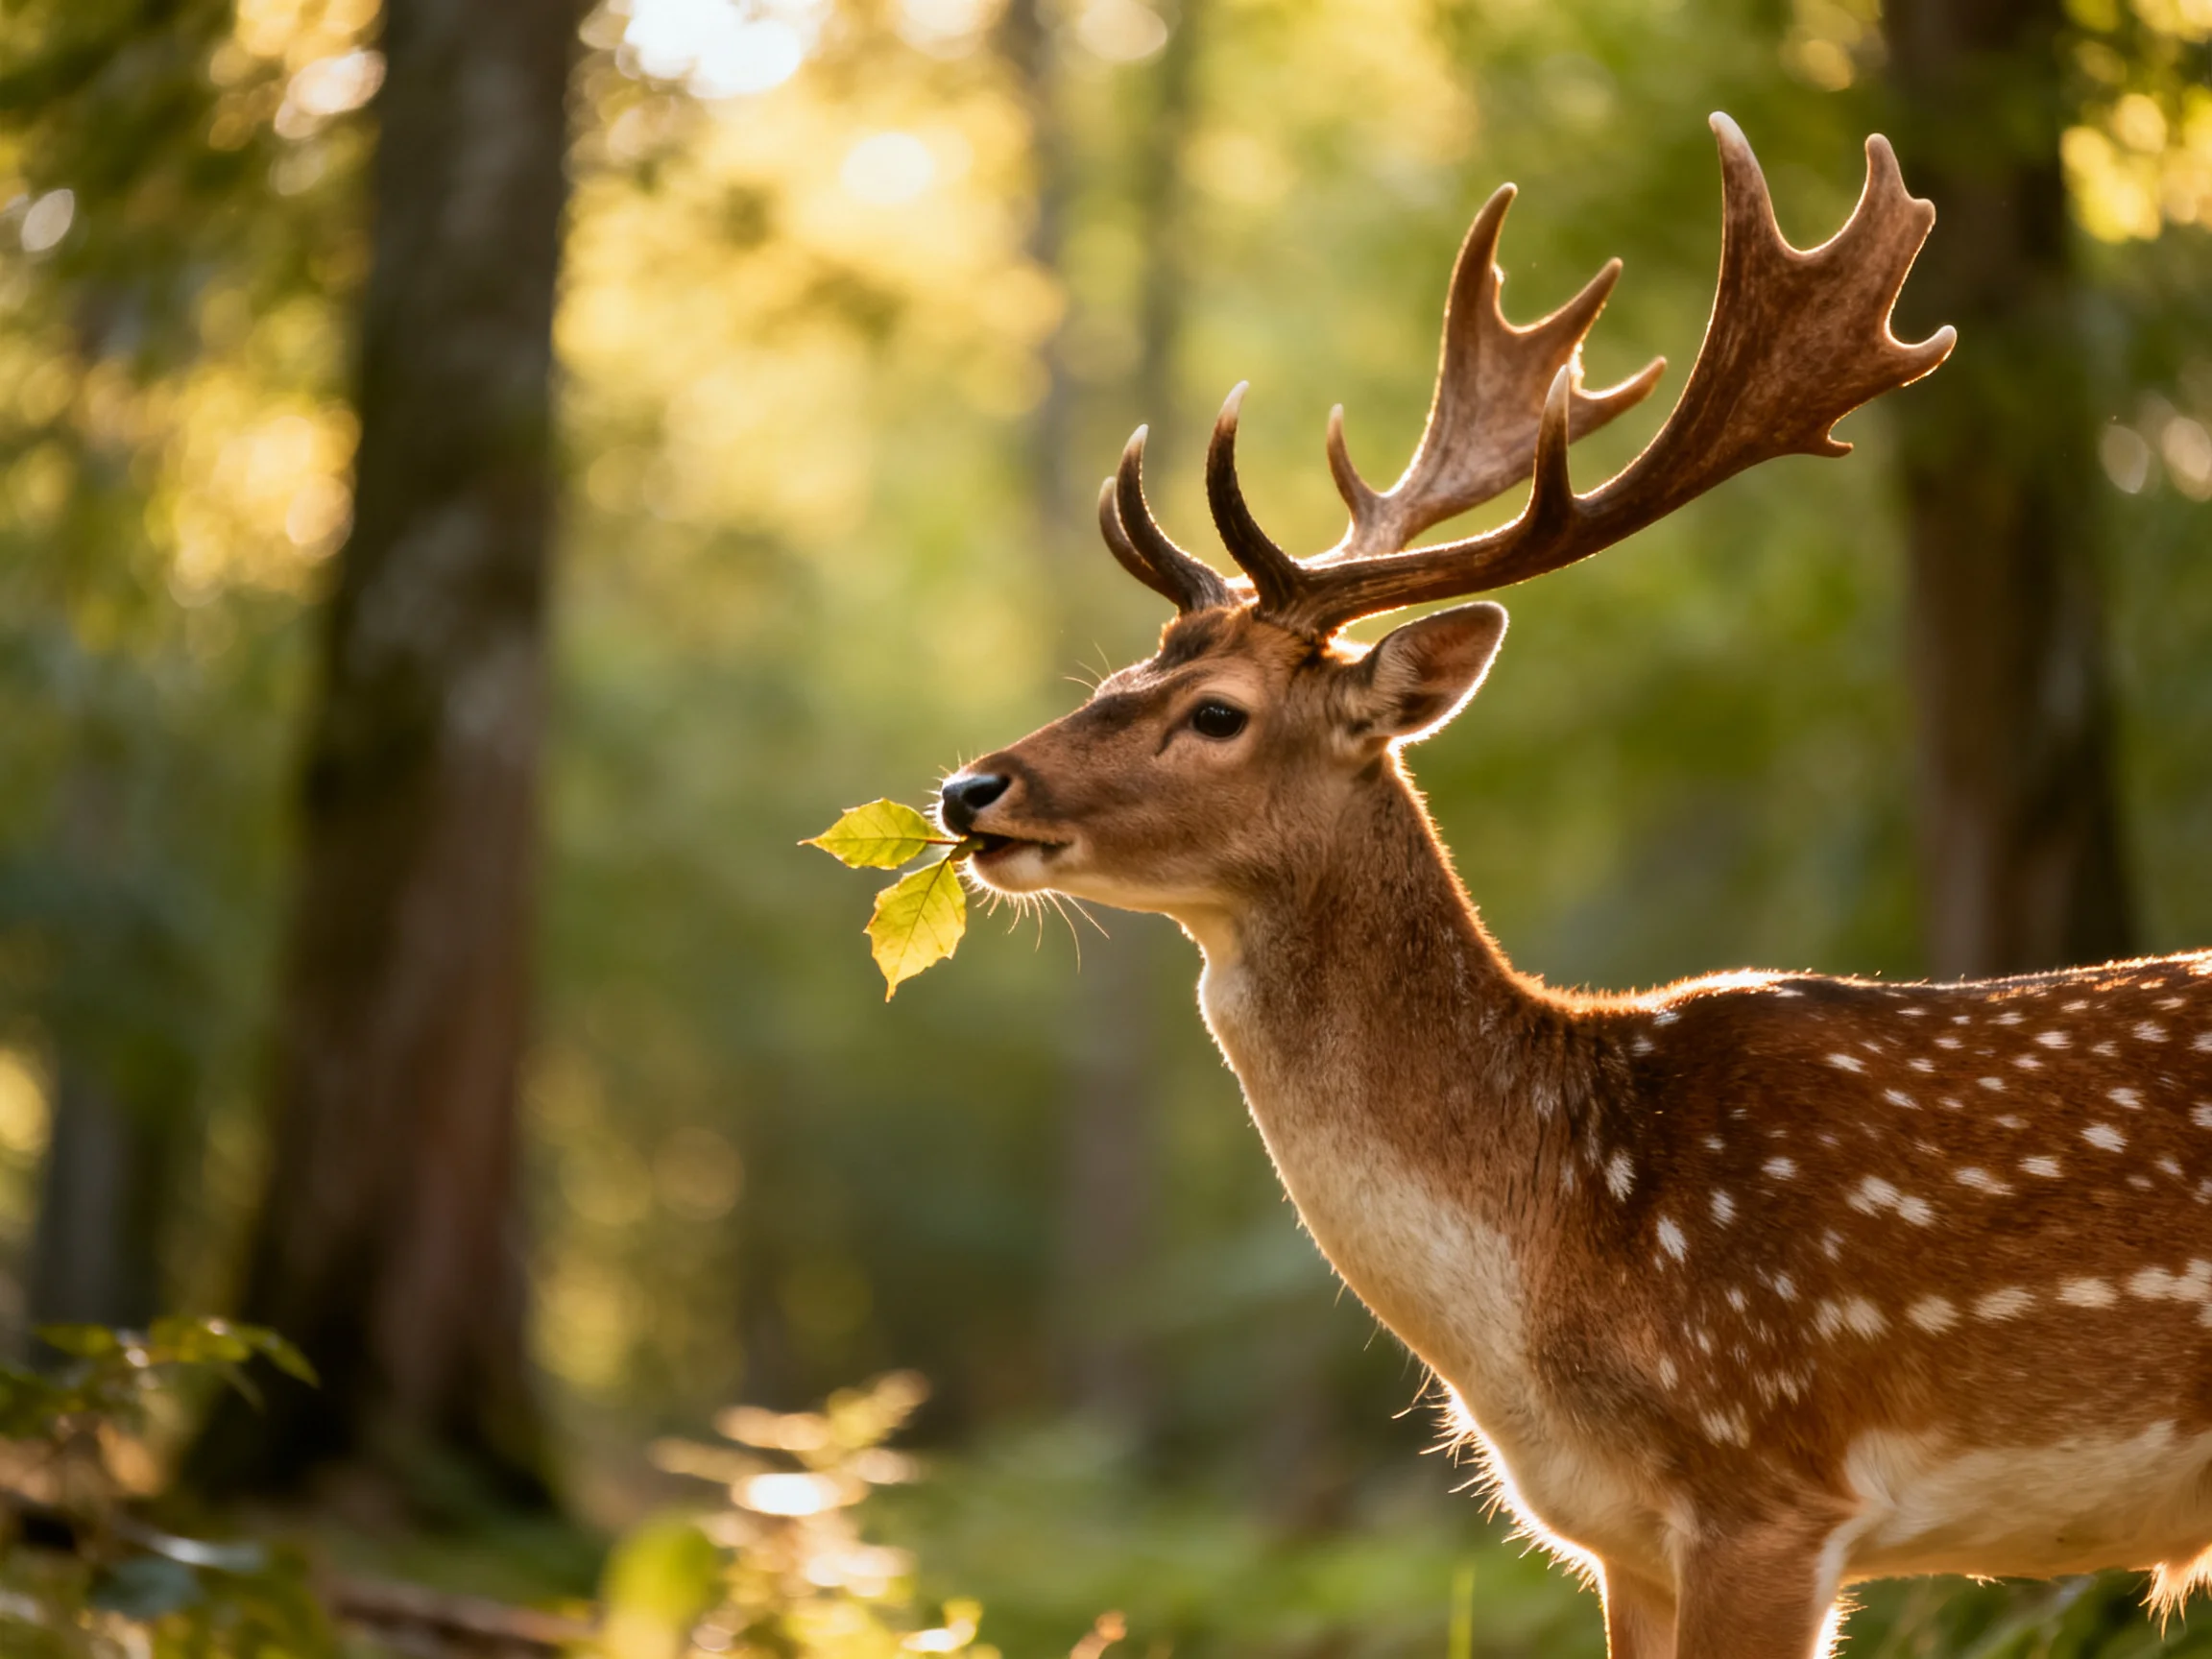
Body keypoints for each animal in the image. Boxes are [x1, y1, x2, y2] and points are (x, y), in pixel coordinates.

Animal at [933, 113, 2212, 1659]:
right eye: (1119, 675)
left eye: (1217, 712)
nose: (972, 791)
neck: (1541, 1288)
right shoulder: (1622, 1543)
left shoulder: (1765, 1485)